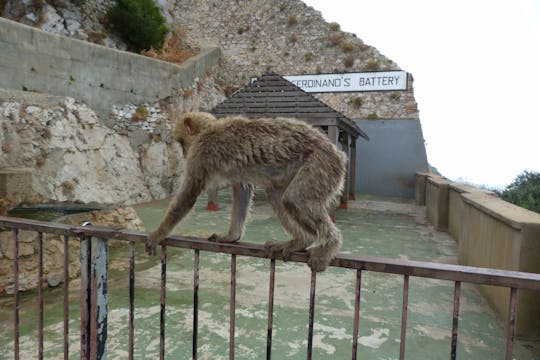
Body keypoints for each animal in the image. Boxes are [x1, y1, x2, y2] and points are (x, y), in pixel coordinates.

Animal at [147, 111, 346, 272]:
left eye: (181, 143)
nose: (184, 153)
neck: (208, 129)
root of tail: (338, 153)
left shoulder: (201, 153)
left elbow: (188, 196)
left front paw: (158, 234)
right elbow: (242, 188)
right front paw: (232, 236)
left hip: (321, 165)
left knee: (294, 199)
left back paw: (330, 244)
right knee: (275, 194)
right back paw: (300, 241)